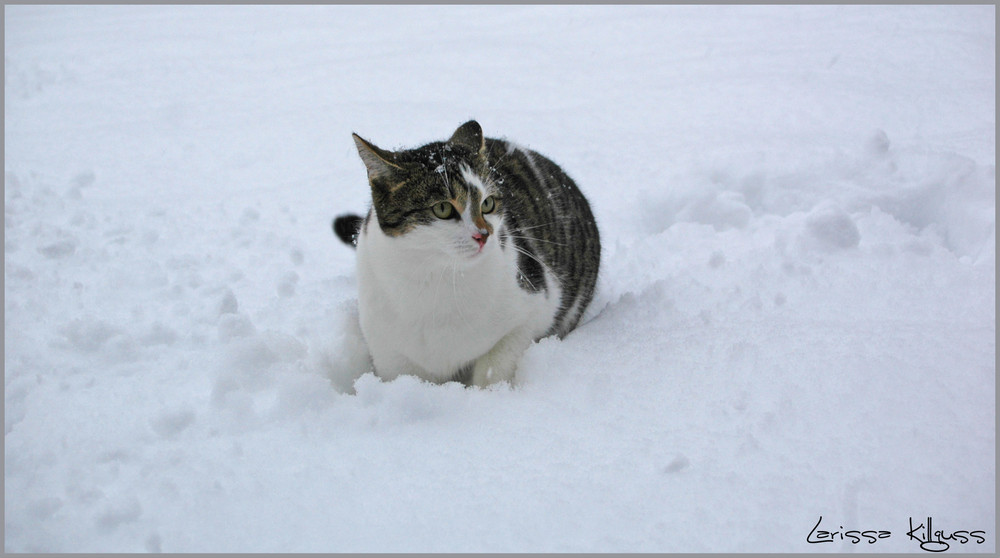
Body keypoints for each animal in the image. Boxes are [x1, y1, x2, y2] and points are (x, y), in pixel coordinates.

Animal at [336, 120, 600, 388]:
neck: (437, 279)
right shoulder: (388, 348)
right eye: (443, 208)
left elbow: (497, 363)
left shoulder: (533, 308)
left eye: (488, 204)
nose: (484, 235)